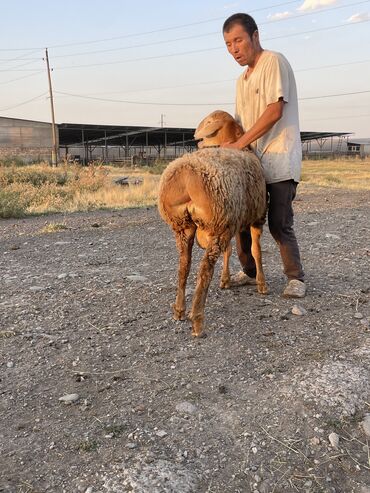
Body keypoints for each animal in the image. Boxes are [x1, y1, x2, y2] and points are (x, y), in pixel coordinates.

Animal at [158, 109, 268, 336]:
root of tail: (185, 177)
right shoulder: (256, 217)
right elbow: (256, 251)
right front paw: (262, 284)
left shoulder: (233, 219)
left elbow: (231, 250)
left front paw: (225, 280)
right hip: (218, 223)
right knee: (204, 270)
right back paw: (197, 319)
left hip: (184, 226)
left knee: (184, 265)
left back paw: (179, 310)